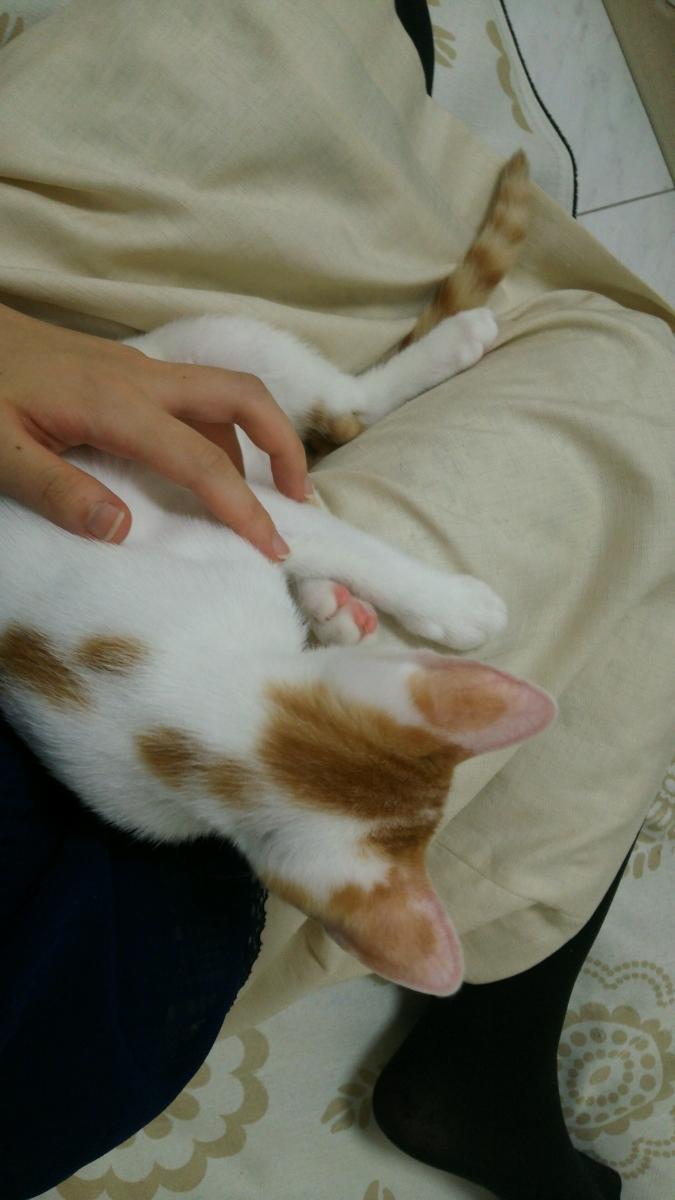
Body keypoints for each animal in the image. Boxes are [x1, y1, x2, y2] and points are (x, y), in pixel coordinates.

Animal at [0, 151, 555, 996]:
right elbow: (332, 540)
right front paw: (447, 604)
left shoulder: (217, 500)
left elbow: (330, 535)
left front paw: (438, 601)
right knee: (327, 447)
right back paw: (329, 601)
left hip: (213, 363)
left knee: (342, 412)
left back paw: (449, 343)